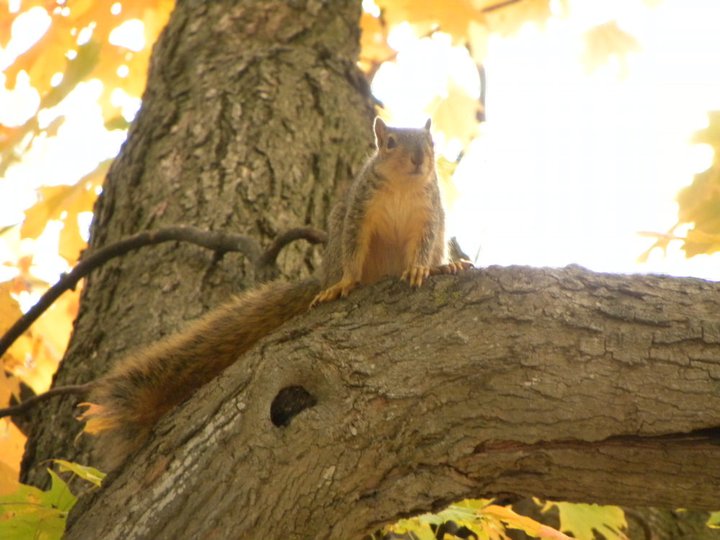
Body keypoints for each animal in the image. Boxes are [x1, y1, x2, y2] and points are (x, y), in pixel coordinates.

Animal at [80, 117, 472, 468]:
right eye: (389, 142)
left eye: (430, 143)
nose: (419, 159)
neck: (403, 186)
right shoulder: (359, 213)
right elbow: (353, 250)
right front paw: (346, 282)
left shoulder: (428, 217)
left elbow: (421, 248)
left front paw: (422, 269)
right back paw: (337, 285)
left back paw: (445, 267)